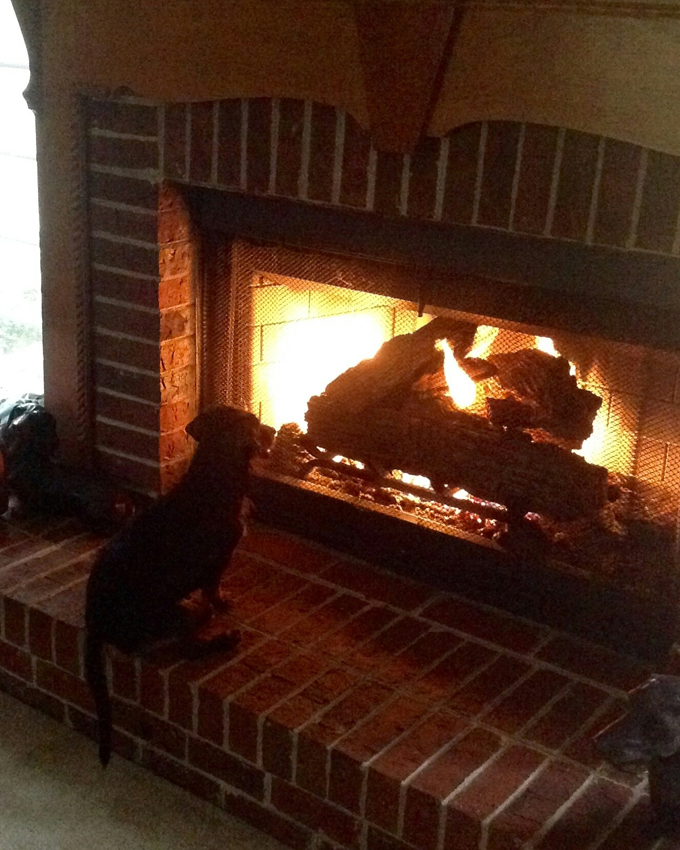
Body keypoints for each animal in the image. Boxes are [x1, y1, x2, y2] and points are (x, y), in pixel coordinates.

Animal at [86, 400, 274, 764]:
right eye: (254, 421)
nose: (274, 430)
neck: (214, 470)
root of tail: (94, 621)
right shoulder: (218, 562)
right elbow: (213, 589)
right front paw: (222, 603)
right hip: (173, 615)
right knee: (190, 646)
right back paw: (222, 636)